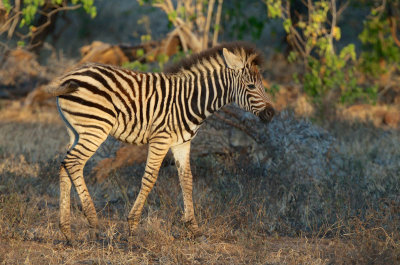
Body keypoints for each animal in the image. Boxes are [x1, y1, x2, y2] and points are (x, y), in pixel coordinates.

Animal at [48, 41, 276, 241]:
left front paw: (194, 229)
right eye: (251, 86)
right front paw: (132, 226)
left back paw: (67, 231)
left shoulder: (182, 143)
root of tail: (70, 76)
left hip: (76, 131)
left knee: (64, 165)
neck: (191, 100)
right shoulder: (161, 139)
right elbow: (149, 178)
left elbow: (187, 180)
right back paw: (94, 223)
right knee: (74, 163)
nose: (271, 113)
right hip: (95, 128)